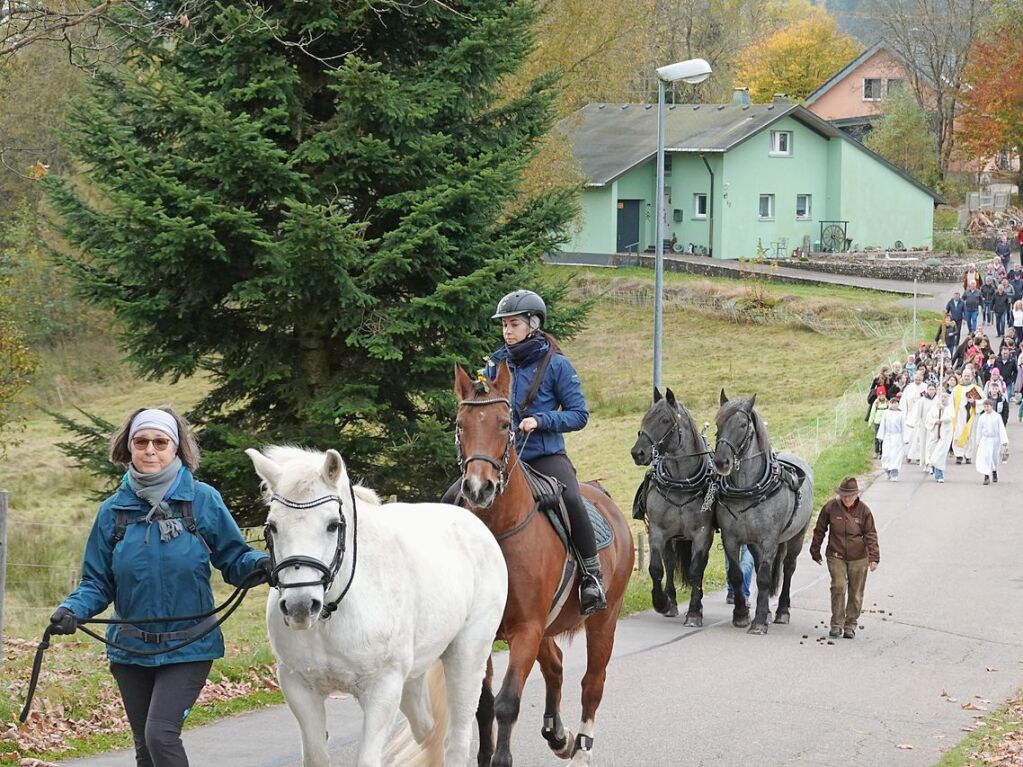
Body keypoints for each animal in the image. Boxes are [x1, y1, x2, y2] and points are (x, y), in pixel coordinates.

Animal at [244, 443, 507, 767]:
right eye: (272, 526)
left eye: (332, 525)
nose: (300, 606)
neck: (333, 615)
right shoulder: (299, 688)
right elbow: (316, 756)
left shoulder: (382, 689)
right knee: (427, 728)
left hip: (467, 654)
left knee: (456, 738)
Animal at [454, 362, 630, 767]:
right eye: (460, 424)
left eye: (505, 423)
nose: (478, 488)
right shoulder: (485, 632)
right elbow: (483, 706)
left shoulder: (526, 630)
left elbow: (506, 703)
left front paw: (502, 759)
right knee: (556, 665)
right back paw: (558, 735)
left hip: (603, 619)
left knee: (592, 683)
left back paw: (581, 747)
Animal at [626, 386, 716, 625]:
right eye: (645, 418)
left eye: (665, 420)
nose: (637, 453)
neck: (680, 482)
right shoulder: (658, 531)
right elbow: (656, 568)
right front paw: (662, 602)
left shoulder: (702, 533)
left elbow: (696, 571)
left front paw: (694, 612)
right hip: (671, 537)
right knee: (669, 562)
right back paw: (671, 601)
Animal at [712, 390, 814, 638]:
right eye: (718, 423)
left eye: (742, 424)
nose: (721, 461)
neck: (748, 490)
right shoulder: (731, 539)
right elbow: (738, 574)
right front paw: (741, 615)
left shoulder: (769, 540)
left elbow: (766, 577)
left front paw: (758, 621)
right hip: (754, 544)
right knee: (759, 567)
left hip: (797, 536)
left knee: (788, 568)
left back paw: (781, 611)